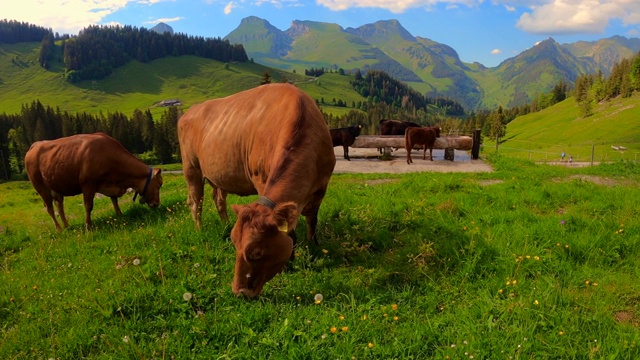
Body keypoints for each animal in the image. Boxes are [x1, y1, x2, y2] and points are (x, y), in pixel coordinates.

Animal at [24, 132, 165, 231]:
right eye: (159, 184)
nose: (157, 203)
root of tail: (35, 145)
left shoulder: (111, 184)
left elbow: (114, 200)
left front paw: (119, 214)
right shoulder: (88, 184)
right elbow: (88, 206)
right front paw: (88, 226)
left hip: (56, 186)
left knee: (60, 207)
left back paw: (67, 226)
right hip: (41, 187)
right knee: (50, 209)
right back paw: (59, 229)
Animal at [175, 83, 336, 298]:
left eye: (256, 252)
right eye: (235, 245)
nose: (238, 291)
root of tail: (191, 110)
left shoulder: (321, 188)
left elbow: (312, 221)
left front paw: (313, 248)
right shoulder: (261, 178)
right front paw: (290, 261)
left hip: (218, 175)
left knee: (218, 198)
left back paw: (225, 224)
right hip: (191, 167)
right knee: (195, 201)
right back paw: (199, 230)